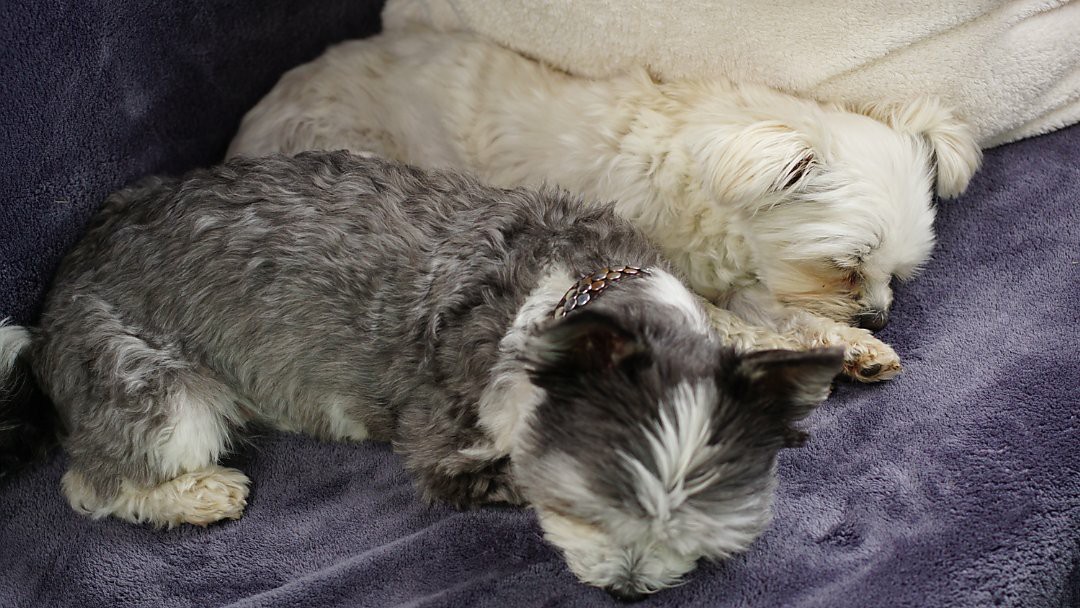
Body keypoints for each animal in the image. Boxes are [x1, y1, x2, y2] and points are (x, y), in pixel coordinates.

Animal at [0, 152, 843, 598]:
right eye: (585, 511)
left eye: (698, 534)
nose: (628, 588)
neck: (582, 292)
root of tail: (53, 299)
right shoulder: (447, 443)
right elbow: (487, 472)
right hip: (155, 390)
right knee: (91, 484)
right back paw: (198, 493)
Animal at [228, 28, 983, 382]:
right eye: (845, 266)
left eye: (896, 274)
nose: (878, 313)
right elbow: (733, 324)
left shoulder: (744, 272)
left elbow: (780, 311)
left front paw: (855, 345)